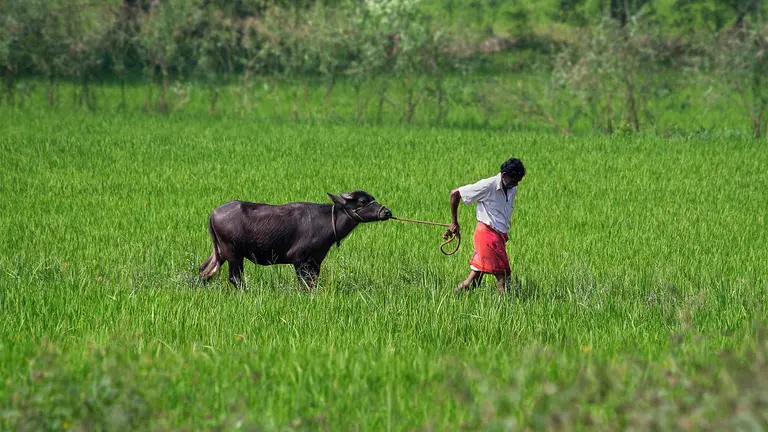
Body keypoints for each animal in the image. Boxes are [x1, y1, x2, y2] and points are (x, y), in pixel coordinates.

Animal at [198, 190, 392, 289]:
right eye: (363, 201)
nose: (387, 212)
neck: (327, 222)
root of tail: (213, 214)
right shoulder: (299, 259)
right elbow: (304, 283)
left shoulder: (316, 261)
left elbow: (313, 283)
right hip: (233, 253)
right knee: (235, 278)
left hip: (219, 252)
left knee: (205, 270)